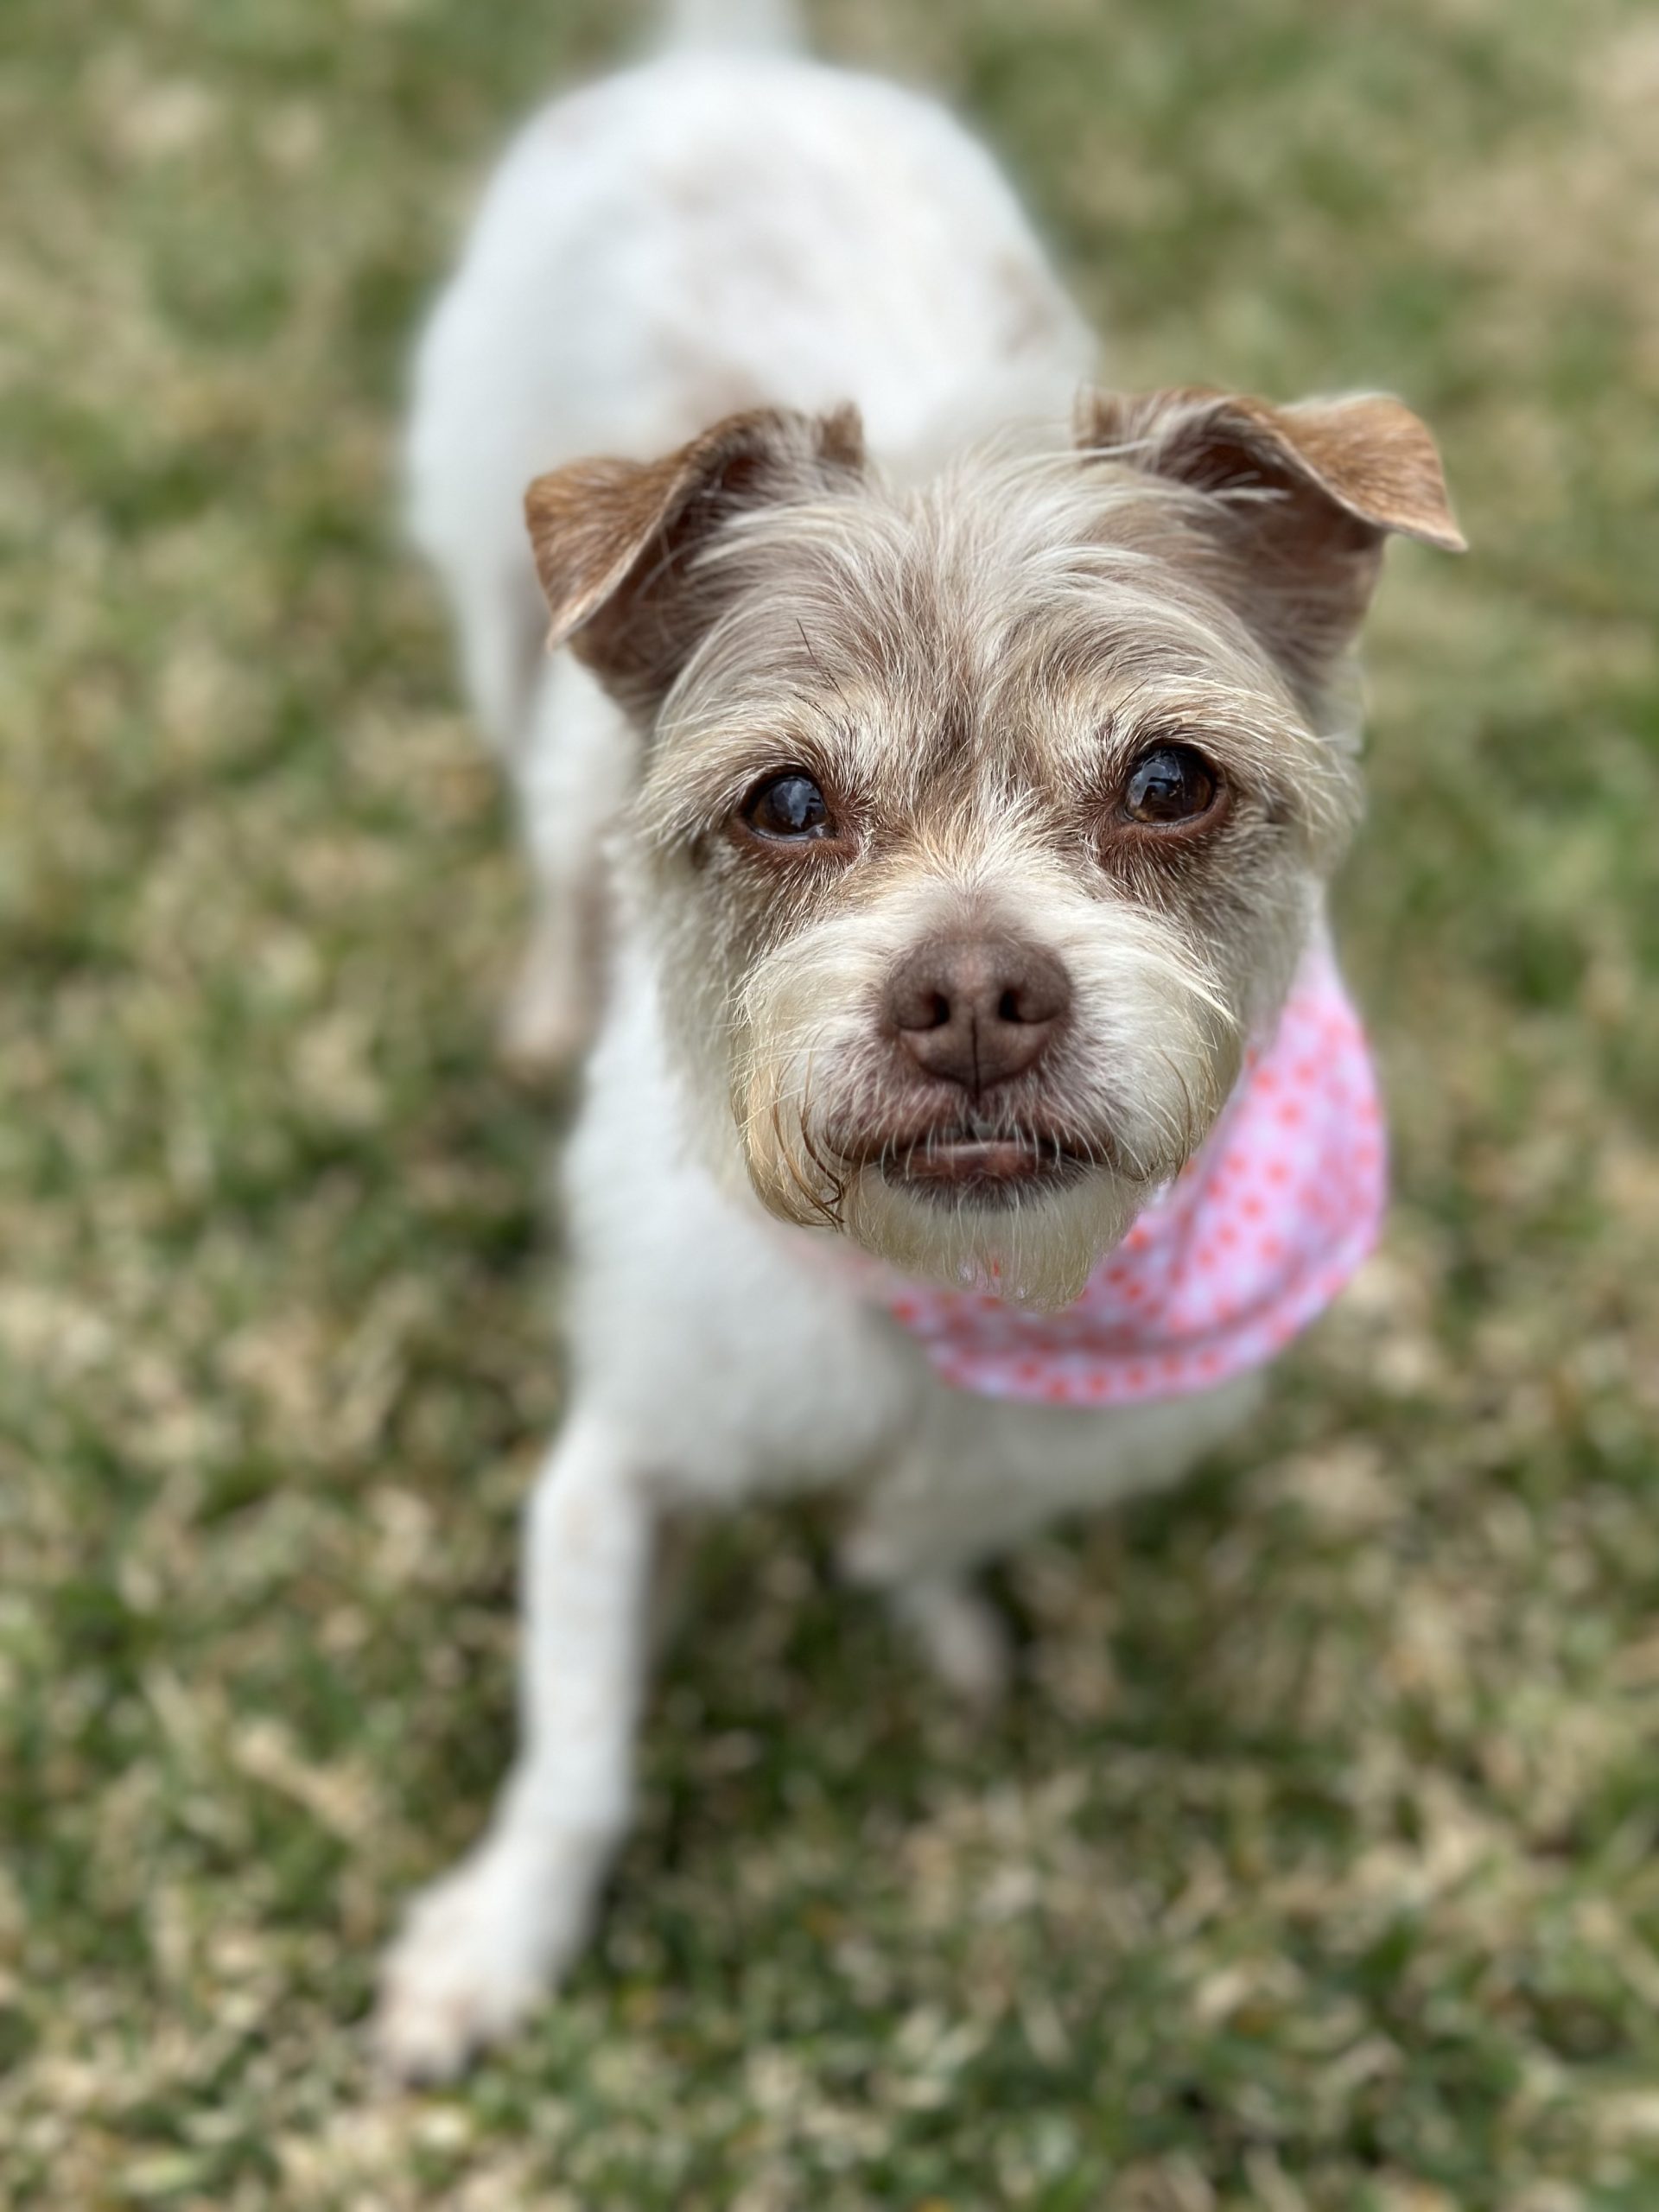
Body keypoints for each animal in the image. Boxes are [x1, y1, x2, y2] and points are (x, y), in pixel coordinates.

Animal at [369, 0, 1459, 2079]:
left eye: (1171, 779)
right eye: (787, 802)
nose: (971, 993)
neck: (942, 1283)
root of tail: (723, 63)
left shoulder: (1111, 1417)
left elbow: (943, 1508)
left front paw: (914, 1585)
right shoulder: (617, 1458)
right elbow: (578, 1754)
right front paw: (494, 1944)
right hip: (486, 601)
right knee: (547, 831)